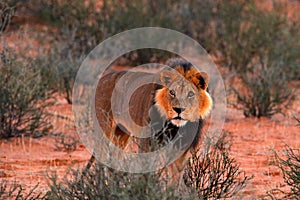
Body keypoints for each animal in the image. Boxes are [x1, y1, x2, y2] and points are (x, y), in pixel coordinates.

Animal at [84, 58, 213, 178]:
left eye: (191, 94)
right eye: (172, 92)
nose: (179, 109)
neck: (174, 126)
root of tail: (102, 78)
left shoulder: (181, 149)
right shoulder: (147, 143)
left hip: (122, 133)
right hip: (104, 130)